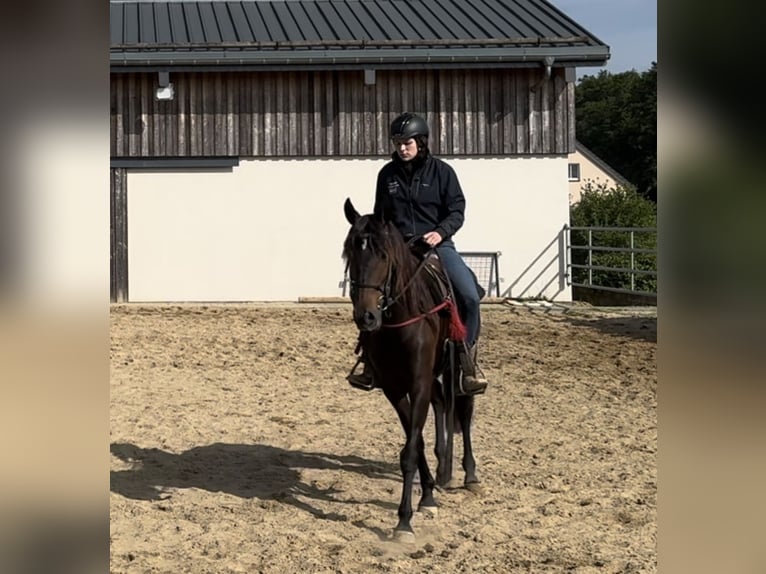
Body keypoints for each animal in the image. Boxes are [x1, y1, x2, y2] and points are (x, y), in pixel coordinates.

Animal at [342, 198, 480, 540]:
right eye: (350, 252)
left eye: (383, 254)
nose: (366, 317)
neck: (401, 323)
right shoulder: (394, 388)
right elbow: (414, 444)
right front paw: (427, 495)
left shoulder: (417, 383)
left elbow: (409, 452)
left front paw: (404, 521)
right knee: (442, 404)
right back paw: (443, 469)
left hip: (457, 371)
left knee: (464, 411)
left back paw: (470, 475)